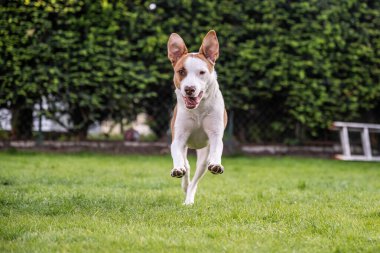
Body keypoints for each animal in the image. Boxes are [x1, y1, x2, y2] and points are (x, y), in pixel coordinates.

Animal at [168, 30, 227, 206]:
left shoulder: (215, 135)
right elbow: (178, 154)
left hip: (203, 155)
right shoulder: (179, 137)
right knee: (187, 166)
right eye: (181, 71)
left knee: (196, 178)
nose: (189, 89)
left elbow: (217, 148)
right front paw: (177, 169)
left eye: (202, 72)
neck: (198, 109)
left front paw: (216, 164)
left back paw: (189, 199)